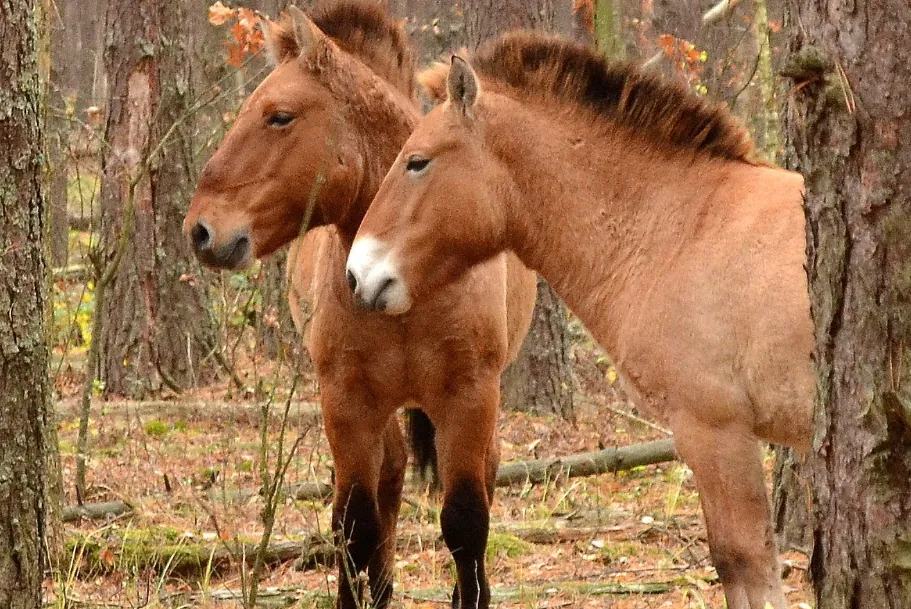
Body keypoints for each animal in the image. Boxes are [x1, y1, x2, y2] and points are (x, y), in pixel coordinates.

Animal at [185, 4, 540, 608]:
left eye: (279, 116)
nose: (201, 230)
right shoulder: (347, 400)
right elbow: (354, 523)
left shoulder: (468, 397)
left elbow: (466, 521)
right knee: (389, 480)